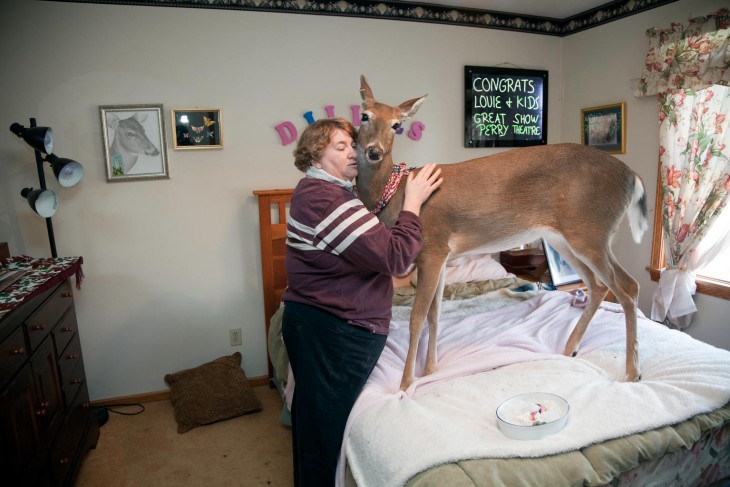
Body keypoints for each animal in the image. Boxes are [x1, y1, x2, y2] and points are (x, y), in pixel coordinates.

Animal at [356, 76, 644, 390]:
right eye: (365, 115)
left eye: (397, 125)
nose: (374, 151)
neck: (397, 196)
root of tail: (633, 178)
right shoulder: (441, 256)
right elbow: (435, 314)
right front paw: (431, 370)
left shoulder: (432, 247)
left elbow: (417, 317)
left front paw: (407, 384)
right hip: (566, 238)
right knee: (599, 285)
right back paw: (570, 349)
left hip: (592, 230)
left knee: (628, 286)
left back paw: (632, 372)